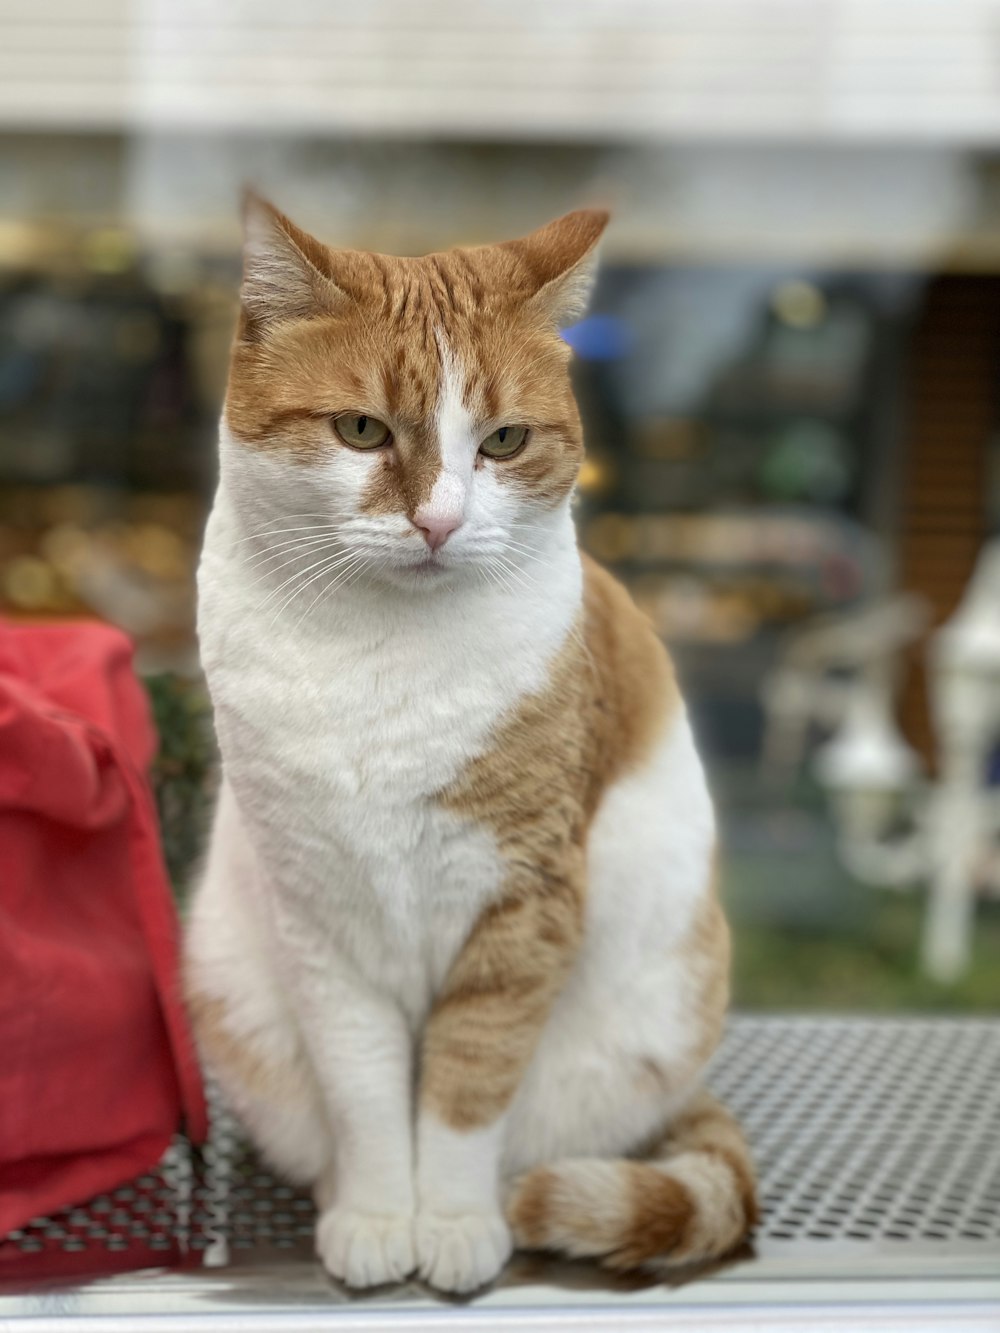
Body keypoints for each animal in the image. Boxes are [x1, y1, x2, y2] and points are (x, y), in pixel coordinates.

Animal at [184, 194, 757, 1290]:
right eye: (361, 429)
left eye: (504, 439)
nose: (441, 520)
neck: (381, 657)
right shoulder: (319, 915)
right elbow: (365, 1085)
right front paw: (377, 1210)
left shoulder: (524, 906)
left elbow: (466, 1081)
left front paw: (448, 1218)